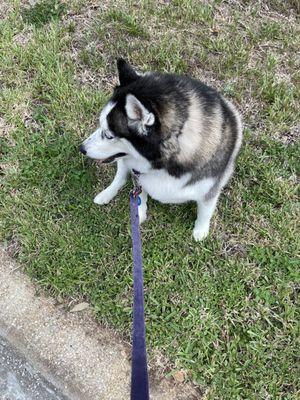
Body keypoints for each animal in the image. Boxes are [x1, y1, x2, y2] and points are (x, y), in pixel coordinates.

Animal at [81, 59, 243, 241]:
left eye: (108, 135)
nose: (82, 148)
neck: (163, 164)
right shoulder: (138, 175)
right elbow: (140, 194)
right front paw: (139, 213)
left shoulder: (210, 189)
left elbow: (205, 212)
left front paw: (200, 231)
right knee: (120, 177)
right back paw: (106, 194)